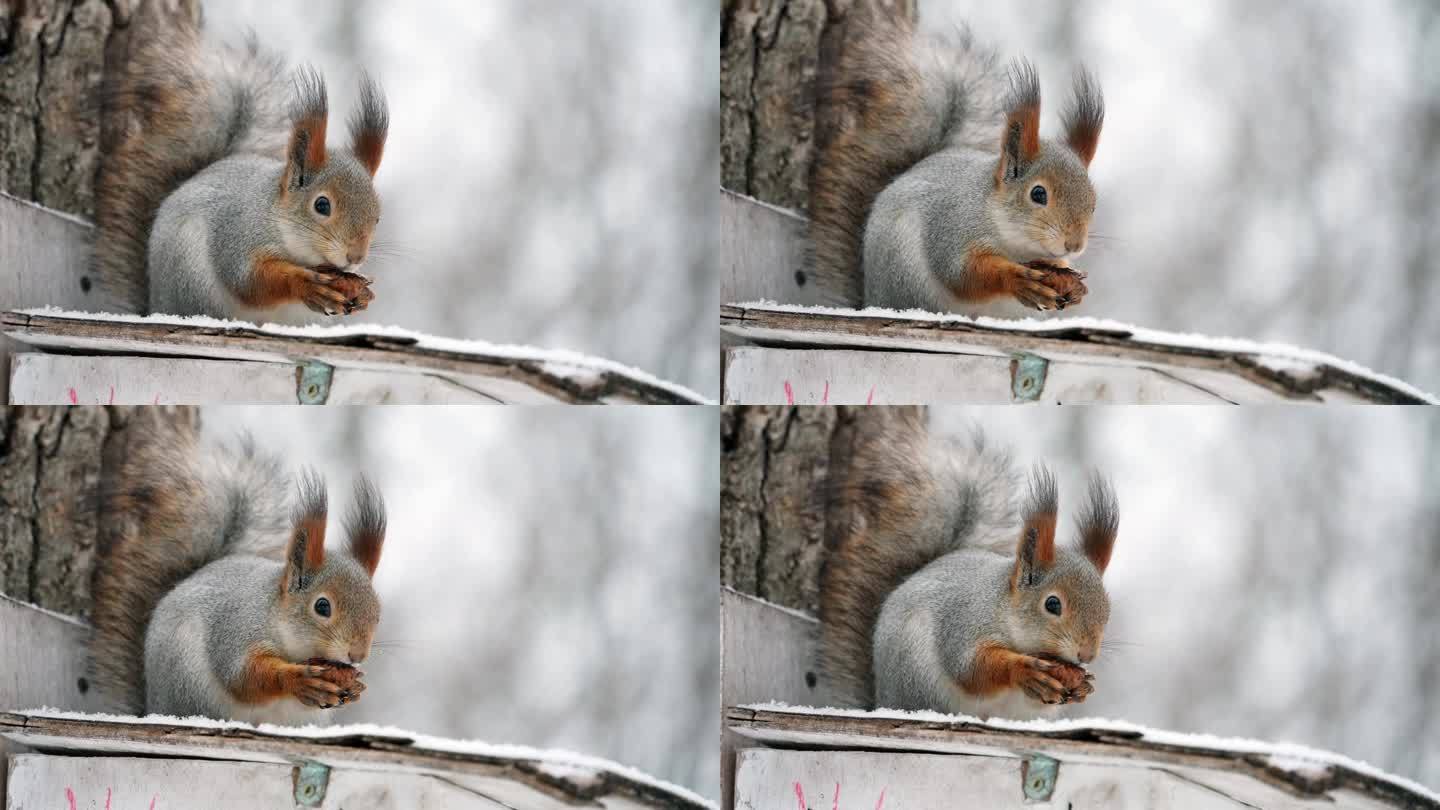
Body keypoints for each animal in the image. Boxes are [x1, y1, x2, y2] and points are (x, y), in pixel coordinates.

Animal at [93, 3, 391, 324]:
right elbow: (250, 282)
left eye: (377, 217)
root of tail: (155, 306)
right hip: (191, 278)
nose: (355, 257)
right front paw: (306, 285)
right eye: (321, 205)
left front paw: (362, 293)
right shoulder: (238, 235)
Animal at [93, 412, 391, 720]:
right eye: (322, 606)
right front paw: (297, 680)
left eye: (377, 614)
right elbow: (244, 677)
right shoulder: (237, 631)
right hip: (189, 686)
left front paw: (354, 687)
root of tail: (153, 708)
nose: (358, 655)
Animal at [812, 9, 1100, 318]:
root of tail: (870, 300)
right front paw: (1017, 280)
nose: (1074, 244)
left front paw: (1073, 284)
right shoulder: (952, 229)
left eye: (1093, 204)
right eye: (1038, 194)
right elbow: (963, 274)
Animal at [817, 412, 1117, 714]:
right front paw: (1024, 671)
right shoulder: (964, 624)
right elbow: (971, 669)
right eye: (1052, 604)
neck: (1003, 610)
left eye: (1106, 608)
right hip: (917, 678)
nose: (1087, 654)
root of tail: (882, 702)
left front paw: (1082, 685)